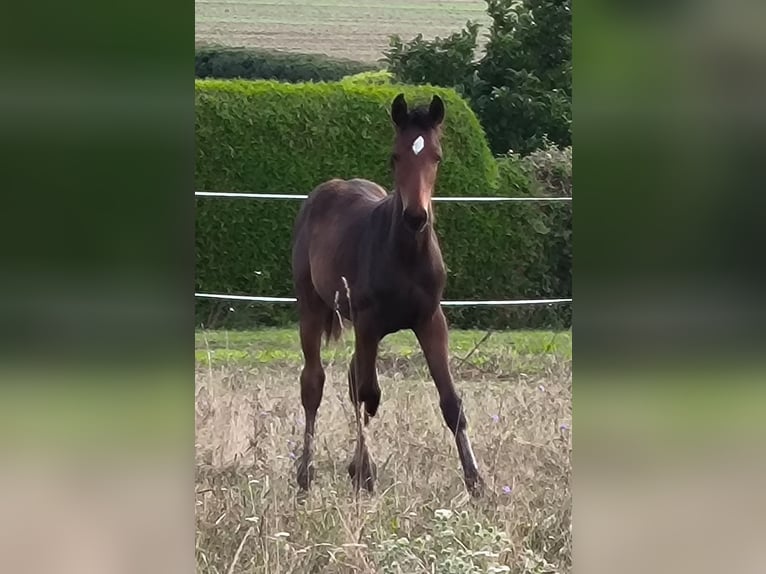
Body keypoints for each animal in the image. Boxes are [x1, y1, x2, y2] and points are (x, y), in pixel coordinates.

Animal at [292, 92, 484, 498]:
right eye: (395, 156)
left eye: (437, 156)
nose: (416, 216)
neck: (405, 254)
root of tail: (326, 188)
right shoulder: (368, 322)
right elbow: (368, 393)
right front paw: (365, 474)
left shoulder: (431, 320)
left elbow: (451, 402)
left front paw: (477, 482)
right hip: (312, 307)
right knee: (314, 383)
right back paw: (305, 475)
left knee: (352, 379)